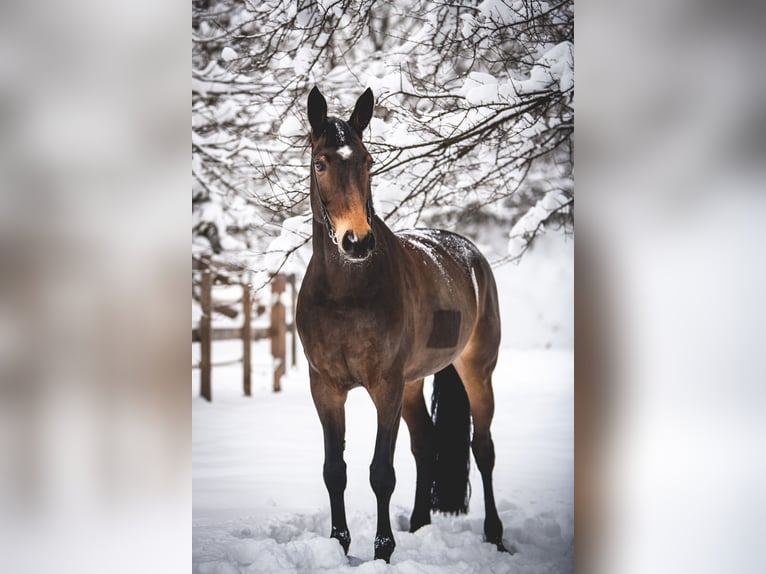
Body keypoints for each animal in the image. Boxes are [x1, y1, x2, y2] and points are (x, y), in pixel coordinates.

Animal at [296, 86, 506, 563]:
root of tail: (469, 253)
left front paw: (383, 550)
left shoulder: (385, 386)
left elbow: (381, 473)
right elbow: (334, 470)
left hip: (476, 372)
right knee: (425, 444)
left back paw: (496, 534)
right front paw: (340, 544)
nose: (357, 241)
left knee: (483, 449)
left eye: (368, 161)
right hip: (412, 384)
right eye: (321, 163)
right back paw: (419, 522)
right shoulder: (326, 388)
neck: (345, 293)